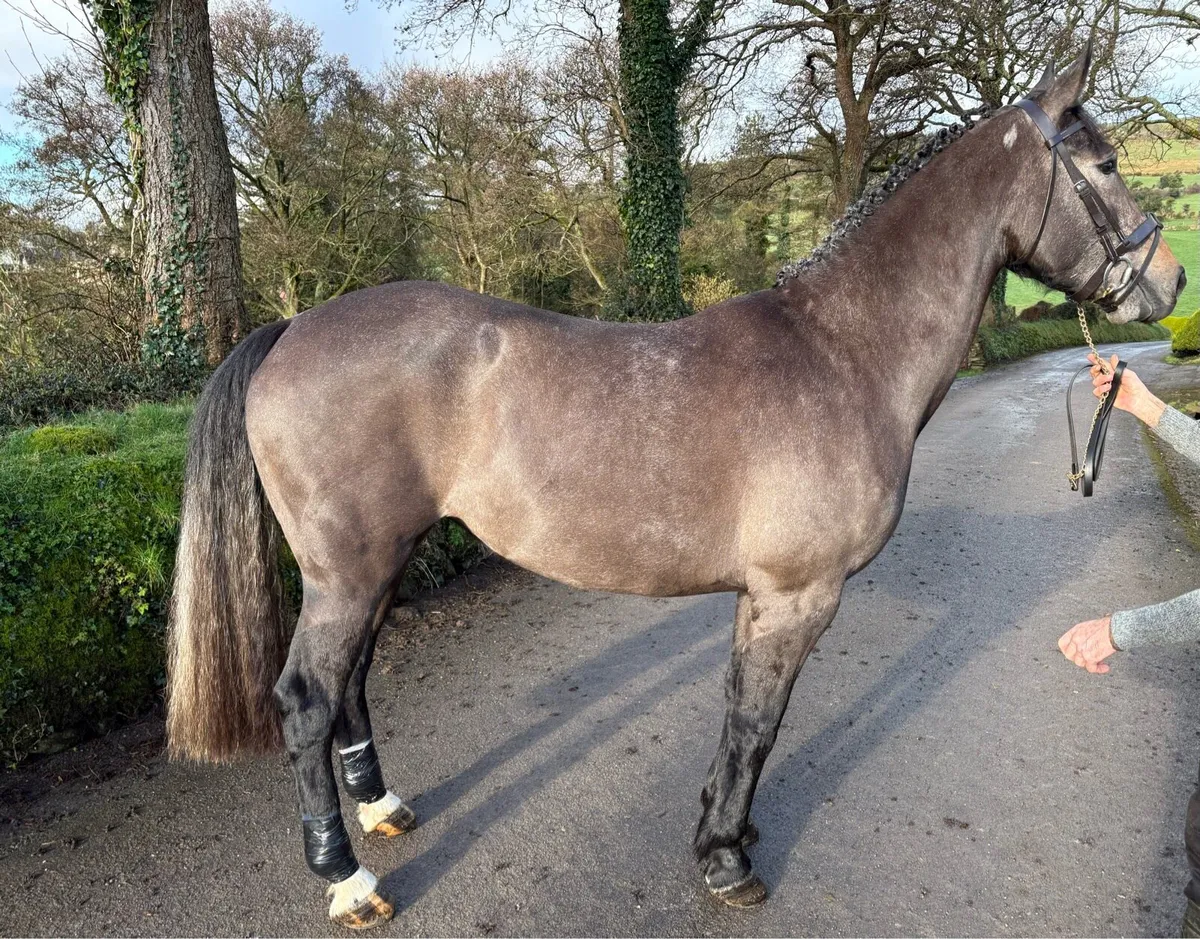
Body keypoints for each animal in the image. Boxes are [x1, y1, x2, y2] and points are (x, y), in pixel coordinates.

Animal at [165, 44, 1184, 927]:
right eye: (1102, 163)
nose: (1169, 282)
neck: (840, 351)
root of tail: (291, 329)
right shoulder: (798, 595)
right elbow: (759, 722)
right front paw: (727, 859)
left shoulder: (759, 598)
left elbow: (740, 716)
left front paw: (722, 828)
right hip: (347, 571)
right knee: (305, 696)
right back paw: (347, 877)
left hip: (382, 561)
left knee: (351, 684)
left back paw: (381, 808)